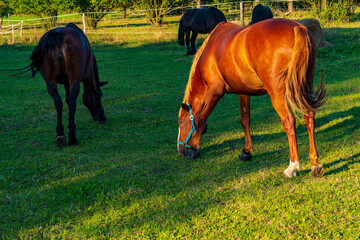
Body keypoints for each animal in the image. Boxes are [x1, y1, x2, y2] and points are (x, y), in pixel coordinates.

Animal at [176, 19, 326, 178]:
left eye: (181, 122)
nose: (180, 150)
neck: (211, 50)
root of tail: (297, 28)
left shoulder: (214, 93)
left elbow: (201, 118)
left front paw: (194, 149)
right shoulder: (243, 92)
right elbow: (245, 120)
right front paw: (246, 151)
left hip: (277, 93)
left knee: (289, 121)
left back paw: (292, 166)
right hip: (306, 86)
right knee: (309, 118)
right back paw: (315, 164)